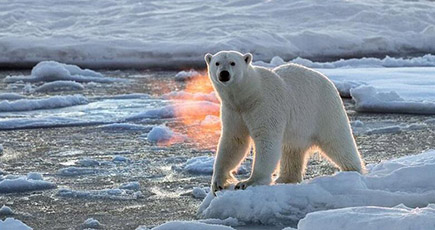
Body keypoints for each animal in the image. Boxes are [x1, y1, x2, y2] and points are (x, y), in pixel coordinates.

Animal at [206, 50, 366, 194]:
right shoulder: (233, 111)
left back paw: (353, 170)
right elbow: (234, 141)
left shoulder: (265, 106)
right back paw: (286, 178)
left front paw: (247, 182)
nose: (224, 74)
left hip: (324, 110)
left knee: (338, 141)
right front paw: (217, 183)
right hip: (299, 128)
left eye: (233, 63)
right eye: (217, 63)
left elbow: (266, 140)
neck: (248, 96)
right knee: (292, 150)